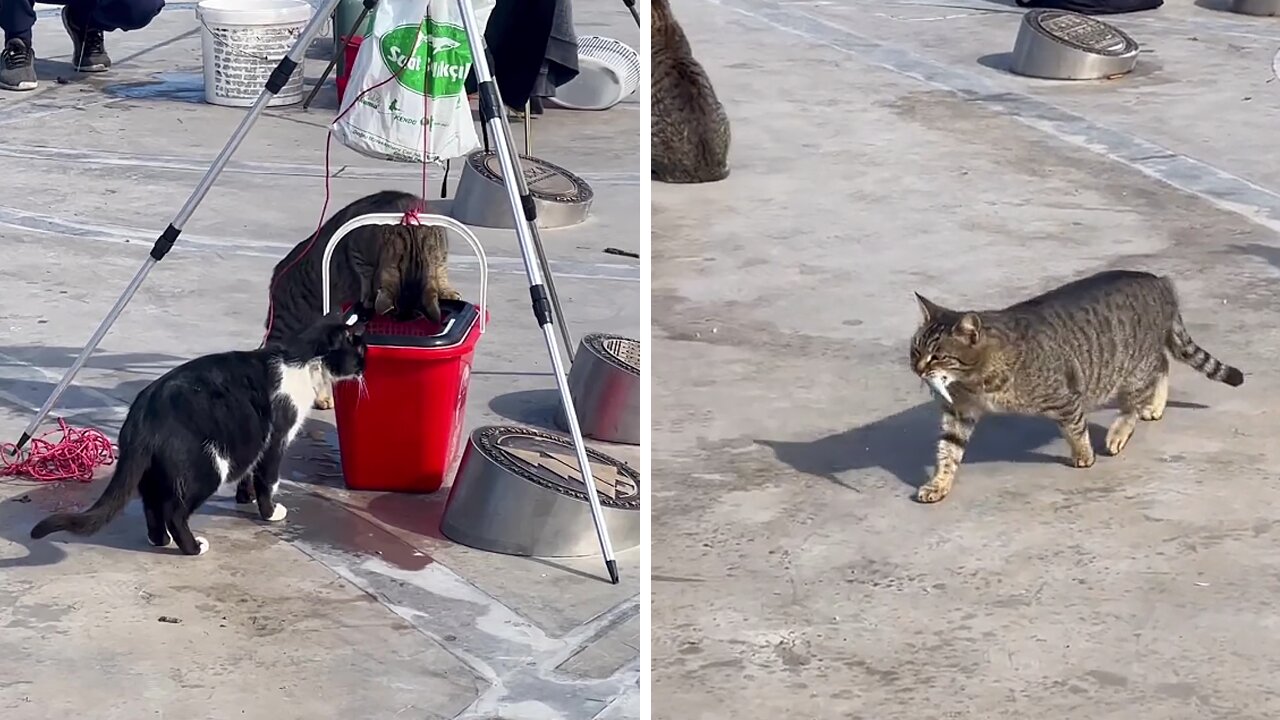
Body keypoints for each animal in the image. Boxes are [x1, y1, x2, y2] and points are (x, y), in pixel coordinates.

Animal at [30, 311, 368, 550]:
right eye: (361, 351)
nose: (365, 367)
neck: (302, 361)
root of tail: (143, 414)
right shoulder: (276, 439)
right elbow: (267, 480)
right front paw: (270, 512)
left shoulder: (253, 441)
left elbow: (250, 474)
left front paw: (244, 498)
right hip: (209, 465)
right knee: (174, 512)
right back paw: (193, 547)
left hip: (155, 471)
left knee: (152, 505)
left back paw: (160, 540)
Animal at [262, 188, 458, 407]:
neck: (412, 239)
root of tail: (277, 274)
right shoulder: (356, 247)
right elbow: (365, 272)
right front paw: (368, 295)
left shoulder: (441, 250)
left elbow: (441, 270)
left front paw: (447, 290)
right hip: (286, 326)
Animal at [906, 266, 1244, 502]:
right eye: (916, 350)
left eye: (938, 356)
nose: (917, 368)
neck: (974, 382)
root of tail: (1159, 280)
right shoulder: (958, 413)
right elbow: (947, 452)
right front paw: (939, 483)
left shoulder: (1065, 396)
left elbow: (1075, 428)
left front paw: (1084, 454)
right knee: (1163, 364)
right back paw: (1155, 406)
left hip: (1132, 365)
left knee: (1137, 396)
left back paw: (1120, 431)